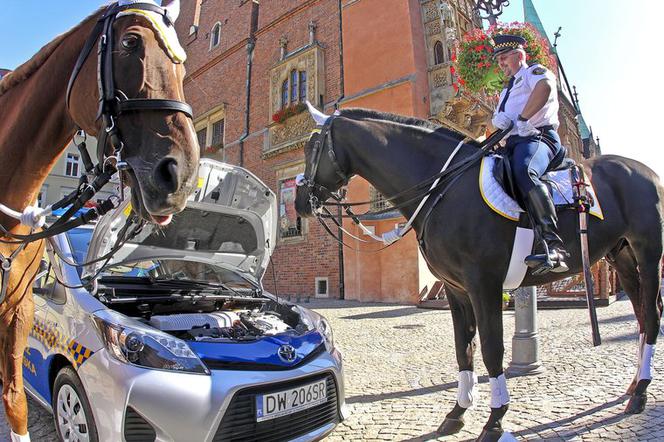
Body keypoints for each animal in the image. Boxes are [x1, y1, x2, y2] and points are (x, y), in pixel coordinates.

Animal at [296, 108, 664, 442]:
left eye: (313, 148)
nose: (299, 202)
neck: (443, 187)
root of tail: (646, 172)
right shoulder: (456, 289)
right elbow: (464, 349)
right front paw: (457, 412)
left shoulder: (484, 285)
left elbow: (491, 349)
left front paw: (496, 419)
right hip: (621, 257)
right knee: (641, 316)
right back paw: (634, 385)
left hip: (648, 253)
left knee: (652, 315)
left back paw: (641, 392)